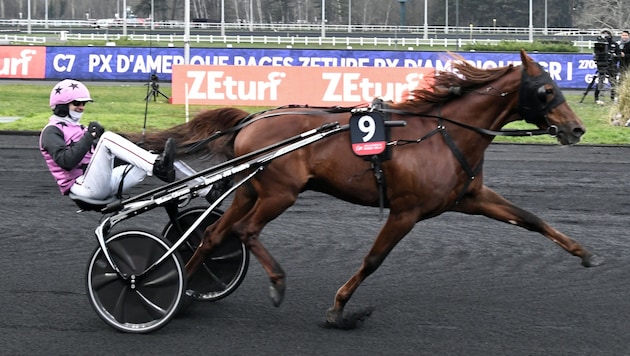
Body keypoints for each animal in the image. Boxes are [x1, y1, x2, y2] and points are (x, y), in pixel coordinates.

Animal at [135, 50, 604, 328]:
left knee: (215, 234)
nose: (577, 128)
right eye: (546, 90)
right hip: (279, 193)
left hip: (252, 191)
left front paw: (585, 253)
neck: (443, 134)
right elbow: (374, 259)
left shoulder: (471, 198)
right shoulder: (406, 212)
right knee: (245, 232)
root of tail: (253, 118)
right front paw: (340, 309)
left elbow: (532, 220)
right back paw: (272, 282)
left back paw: (178, 289)